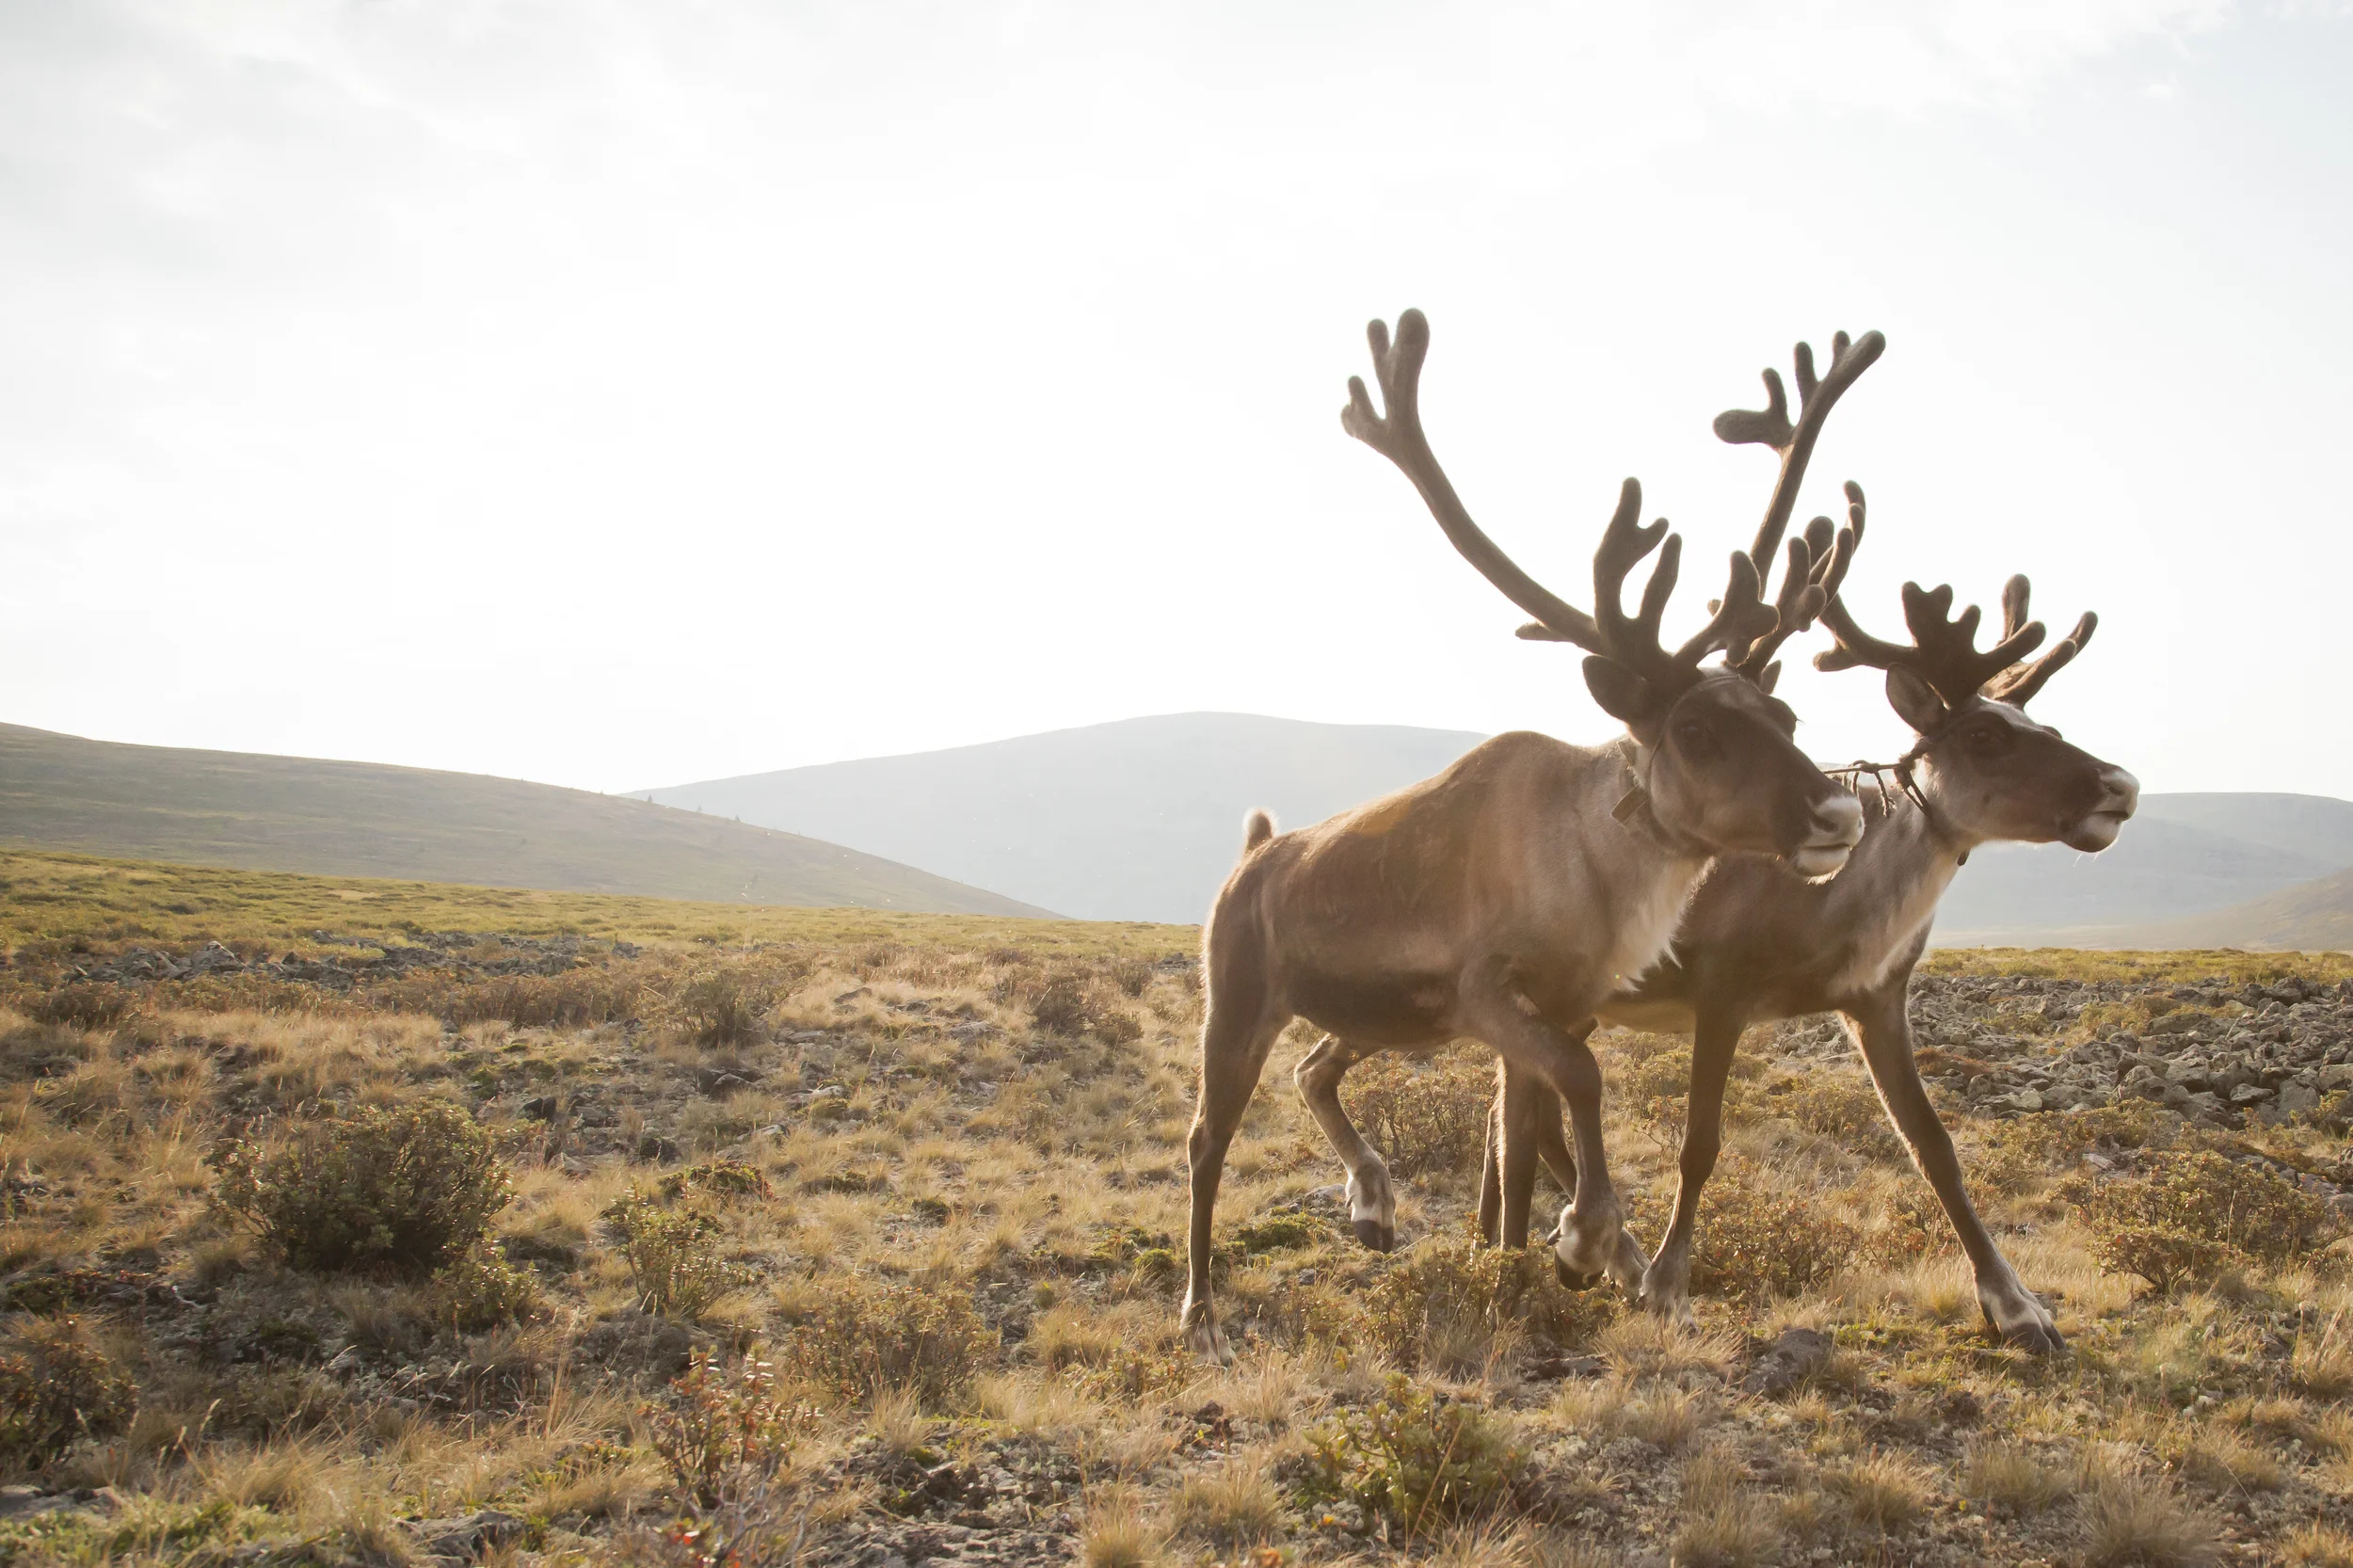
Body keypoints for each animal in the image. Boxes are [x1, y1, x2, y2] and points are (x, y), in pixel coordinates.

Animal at [1178, 310, 1873, 1362]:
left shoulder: (1563, 1007)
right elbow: (1573, 1091)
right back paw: (1201, 1309)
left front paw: (1528, 1266)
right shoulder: (1487, 993)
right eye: (1696, 730)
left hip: (1376, 1017)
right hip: (1242, 996)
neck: (1601, 868)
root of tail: (1254, 854)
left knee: (1314, 1070)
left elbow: (1522, 1138)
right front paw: (1582, 1239)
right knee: (1206, 1142)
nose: (1840, 814)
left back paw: (1373, 1200)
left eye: (1785, 714)